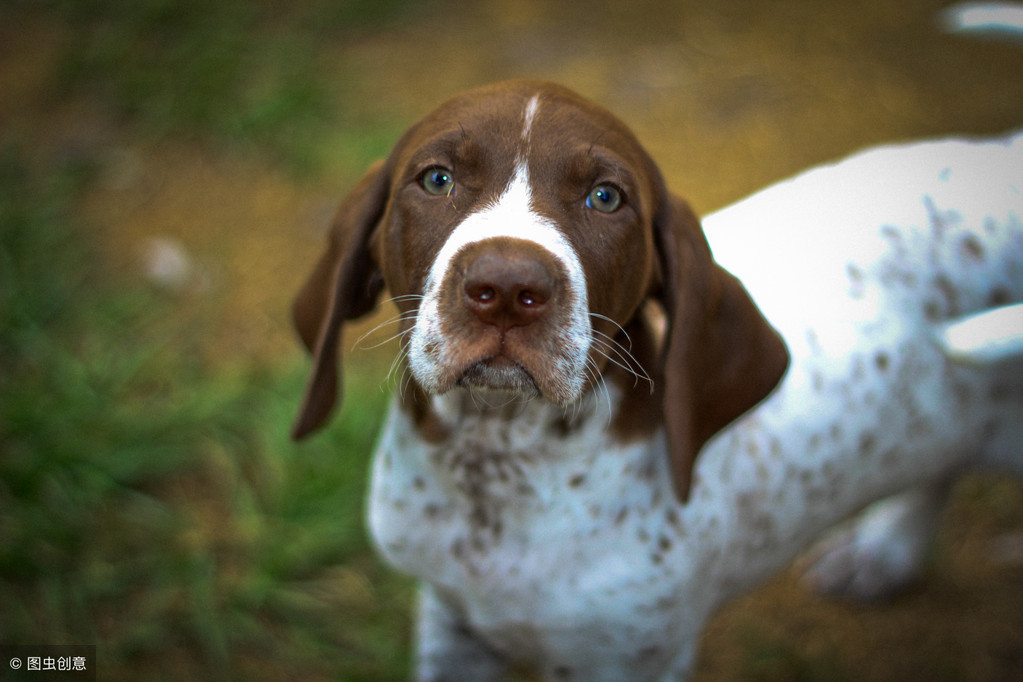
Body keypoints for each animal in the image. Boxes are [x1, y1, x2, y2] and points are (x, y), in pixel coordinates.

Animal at [290, 81, 1023, 682]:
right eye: (436, 179)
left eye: (606, 197)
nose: (505, 289)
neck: (497, 472)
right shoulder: (453, 626)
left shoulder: (633, 656)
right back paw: (886, 553)